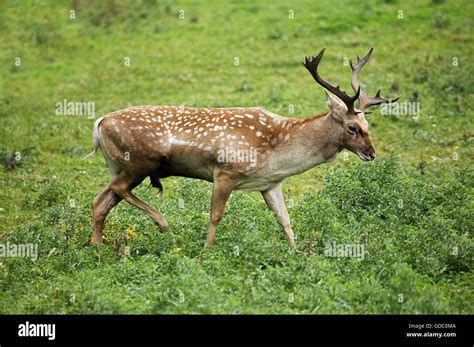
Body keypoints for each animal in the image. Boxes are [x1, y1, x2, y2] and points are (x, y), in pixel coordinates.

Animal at [88, 49, 396, 250]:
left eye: (367, 124)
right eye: (352, 128)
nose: (371, 154)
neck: (278, 151)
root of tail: (99, 123)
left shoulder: (271, 184)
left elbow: (285, 219)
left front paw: (298, 255)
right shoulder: (225, 172)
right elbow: (215, 215)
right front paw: (205, 254)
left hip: (121, 166)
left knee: (101, 201)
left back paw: (97, 247)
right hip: (139, 162)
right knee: (116, 190)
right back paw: (162, 223)